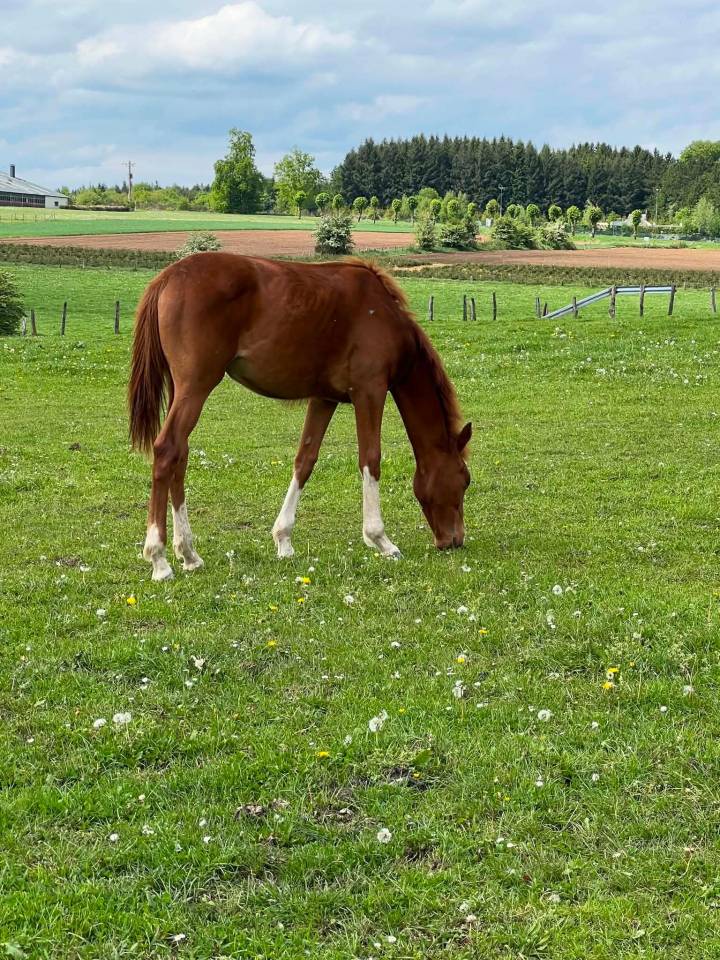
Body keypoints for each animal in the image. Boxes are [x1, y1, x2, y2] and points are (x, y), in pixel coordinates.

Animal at [128, 253, 471, 581]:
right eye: (465, 480)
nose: (454, 541)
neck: (384, 316)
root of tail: (168, 276)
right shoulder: (370, 392)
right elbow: (370, 459)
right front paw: (380, 540)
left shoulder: (323, 399)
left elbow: (305, 460)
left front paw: (283, 539)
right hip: (196, 387)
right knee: (167, 450)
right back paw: (159, 559)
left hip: (181, 390)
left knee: (180, 456)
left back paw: (188, 554)